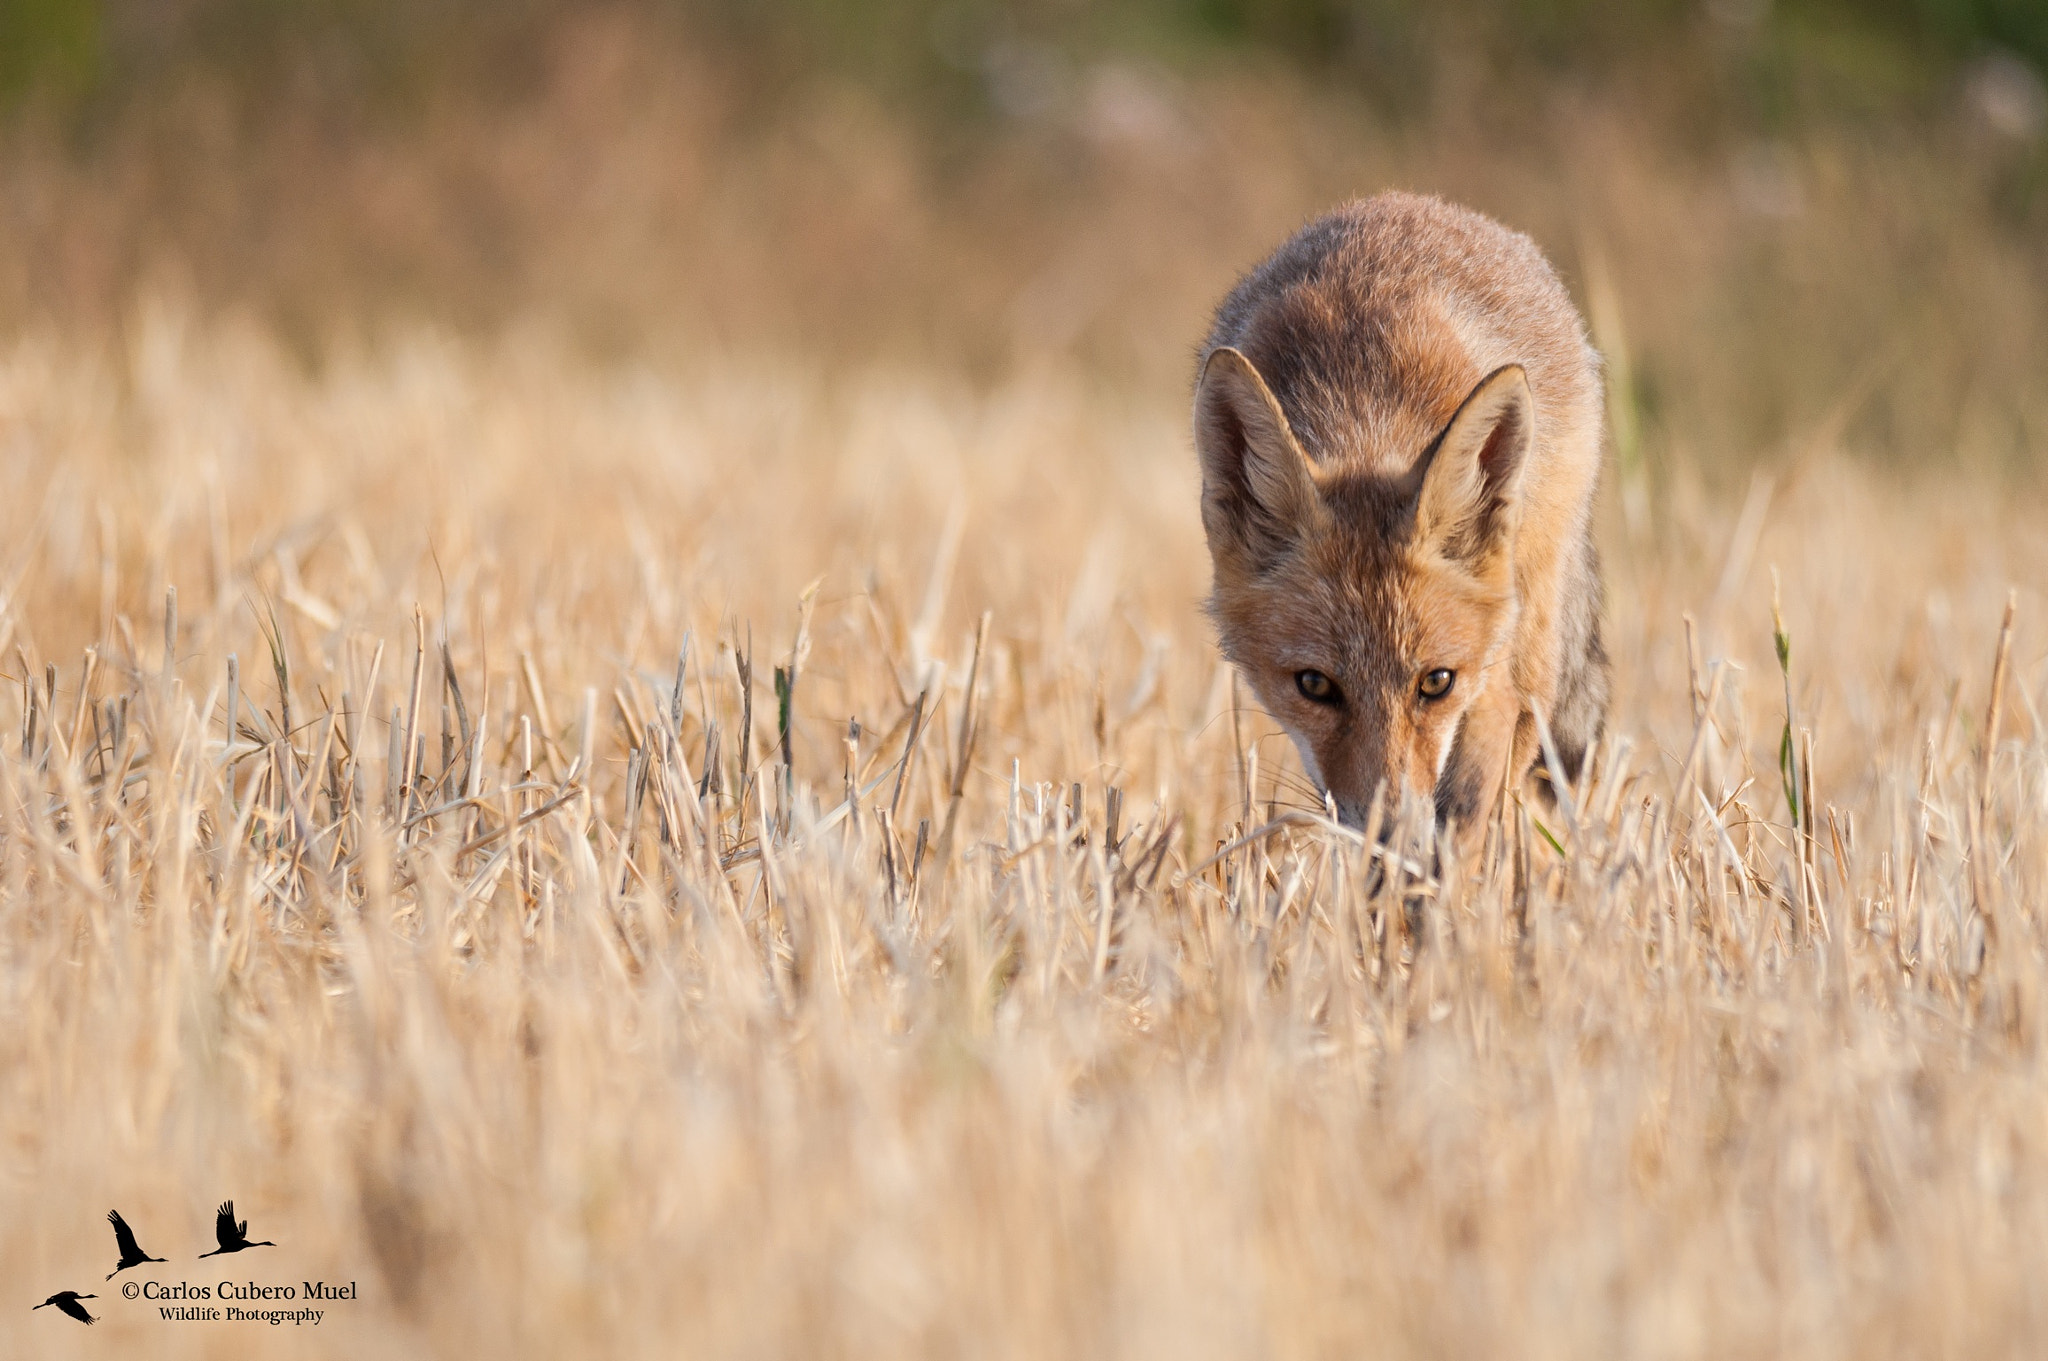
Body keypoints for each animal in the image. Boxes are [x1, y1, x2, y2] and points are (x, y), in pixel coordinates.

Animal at [1196, 188, 1605, 839]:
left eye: (1435, 682)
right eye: (1314, 685)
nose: (1389, 834)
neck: (1367, 412)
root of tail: (1409, 201)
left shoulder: (1492, 676)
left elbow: (1467, 806)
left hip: (1534, 623)